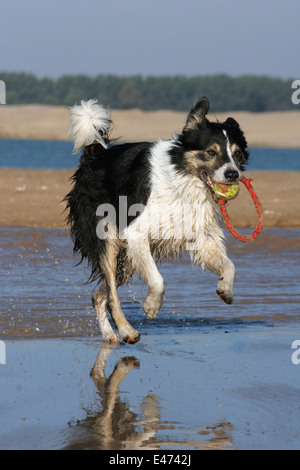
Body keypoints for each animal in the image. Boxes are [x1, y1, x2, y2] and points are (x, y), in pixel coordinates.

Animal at [65, 97, 248, 344]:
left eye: (237, 154)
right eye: (211, 152)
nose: (232, 174)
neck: (182, 178)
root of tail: (94, 156)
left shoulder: (201, 237)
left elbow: (230, 265)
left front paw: (226, 290)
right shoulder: (136, 233)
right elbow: (157, 279)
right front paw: (151, 306)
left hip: (125, 260)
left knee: (98, 296)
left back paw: (110, 335)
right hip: (107, 239)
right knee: (111, 294)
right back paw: (126, 331)